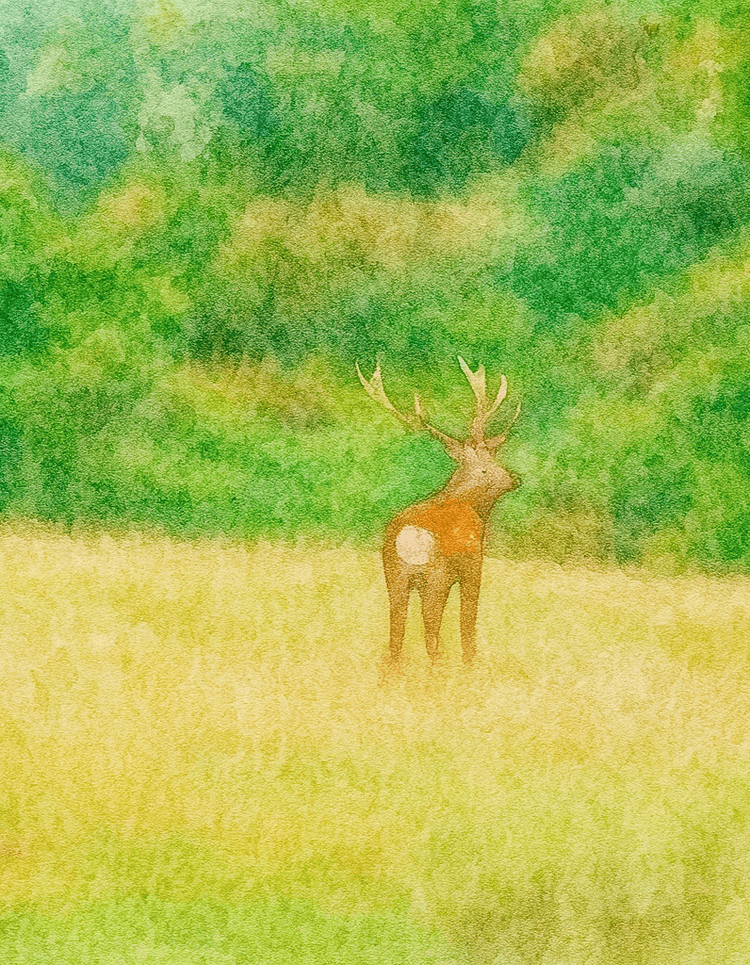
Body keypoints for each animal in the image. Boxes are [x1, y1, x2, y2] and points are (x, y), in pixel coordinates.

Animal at [357, 357, 521, 669]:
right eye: (489, 463)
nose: (514, 477)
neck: (470, 504)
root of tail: (410, 536)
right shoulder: (473, 564)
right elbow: (468, 621)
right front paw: (470, 662)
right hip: (436, 577)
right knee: (431, 636)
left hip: (394, 575)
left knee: (395, 640)